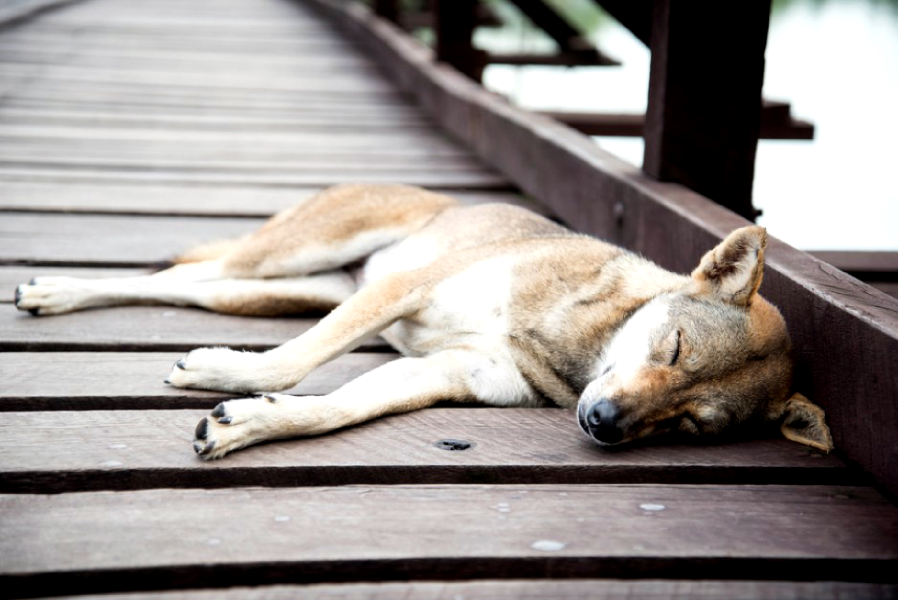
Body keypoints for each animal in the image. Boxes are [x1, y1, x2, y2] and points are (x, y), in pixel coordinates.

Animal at [14, 185, 828, 458]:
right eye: (673, 345)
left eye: (693, 424)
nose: (603, 424)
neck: (577, 347)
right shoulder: (407, 289)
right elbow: (294, 363)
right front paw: (234, 378)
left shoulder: (443, 372)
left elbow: (334, 407)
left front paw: (253, 420)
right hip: (295, 255)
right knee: (173, 276)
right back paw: (57, 290)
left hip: (276, 292)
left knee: (188, 287)